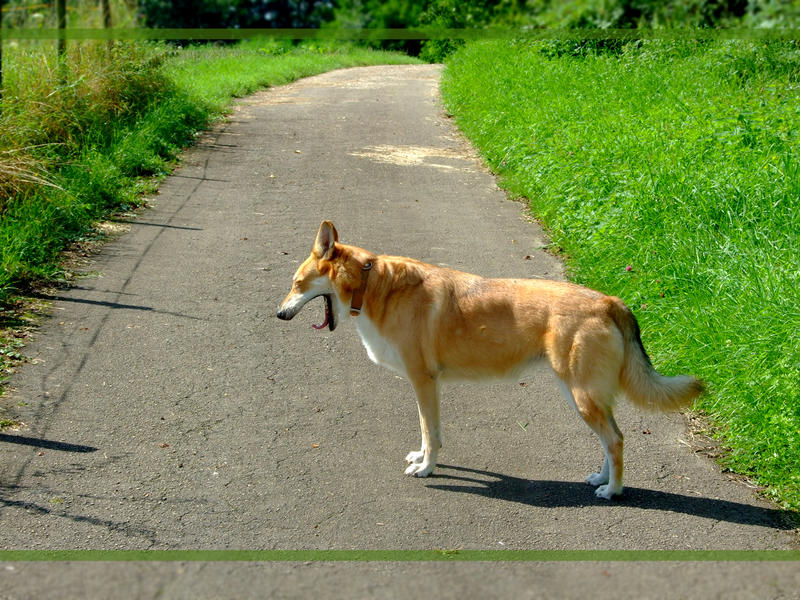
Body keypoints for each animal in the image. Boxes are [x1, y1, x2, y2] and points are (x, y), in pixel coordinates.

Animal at [278, 220, 704, 496]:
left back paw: (613, 491)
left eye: (297, 285)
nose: (279, 314)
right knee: (611, 438)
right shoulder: (426, 386)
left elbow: (431, 434)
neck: (372, 285)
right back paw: (602, 480)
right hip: (580, 396)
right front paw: (423, 458)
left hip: (583, 398)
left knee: (614, 440)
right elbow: (428, 433)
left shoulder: (423, 382)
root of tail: (610, 301)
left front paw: (427, 468)